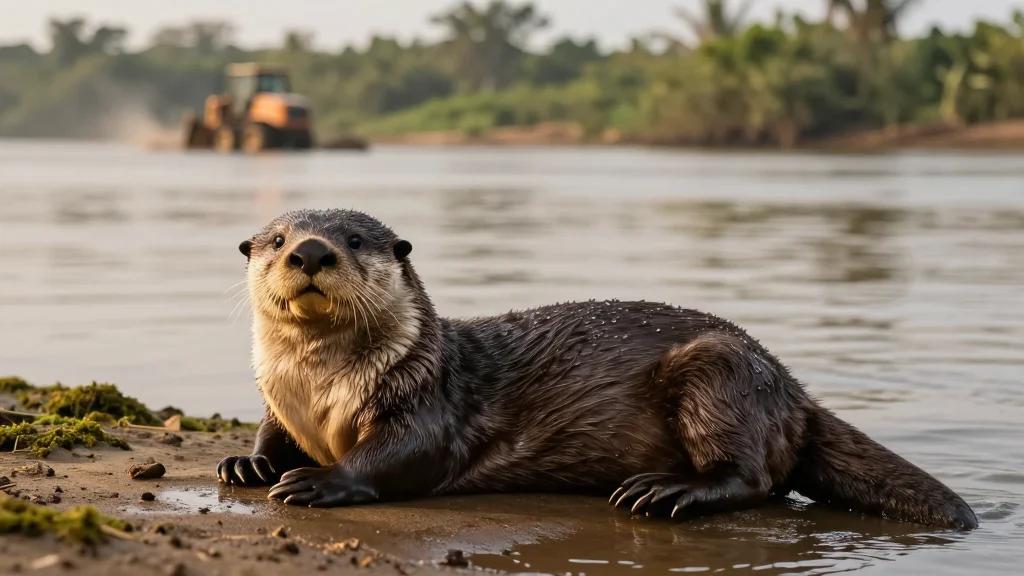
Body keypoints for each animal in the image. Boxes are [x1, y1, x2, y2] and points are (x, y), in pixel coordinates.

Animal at [217, 209, 978, 530]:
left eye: (352, 238)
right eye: (277, 239)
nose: (311, 251)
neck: (318, 392)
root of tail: (794, 388)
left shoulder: (428, 400)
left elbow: (401, 456)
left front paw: (317, 481)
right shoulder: (278, 401)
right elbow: (270, 430)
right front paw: (249, 463)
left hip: (720, 371)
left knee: (756, 477)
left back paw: (665, 493)